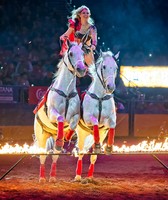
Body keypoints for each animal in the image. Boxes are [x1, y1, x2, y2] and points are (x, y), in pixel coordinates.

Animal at [33, 41, 87, 183]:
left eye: (83, 53)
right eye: (71, 53)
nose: (81, 69)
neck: (66, 93)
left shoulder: (76, 115)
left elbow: (73, 124)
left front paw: (66, 136)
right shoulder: (53, 113)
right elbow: (60, 118)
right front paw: (62, 138)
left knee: (55, 156)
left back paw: (52, 176)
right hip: (41, 137)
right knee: (42, 155)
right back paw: (42, 178)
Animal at [74, 50, 119, 181]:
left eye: (116, 68)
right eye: (104, 67)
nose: (110, 87)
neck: (100, 98)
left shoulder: (110, 120)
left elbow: (112, 124)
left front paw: (108, 147)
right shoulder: (88, 118)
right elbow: (94, 121)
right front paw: (99, 145)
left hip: (101, 135)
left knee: (93, 156)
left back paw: (89, 177)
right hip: (82, 134)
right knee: (81, 152)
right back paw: (78, 176)